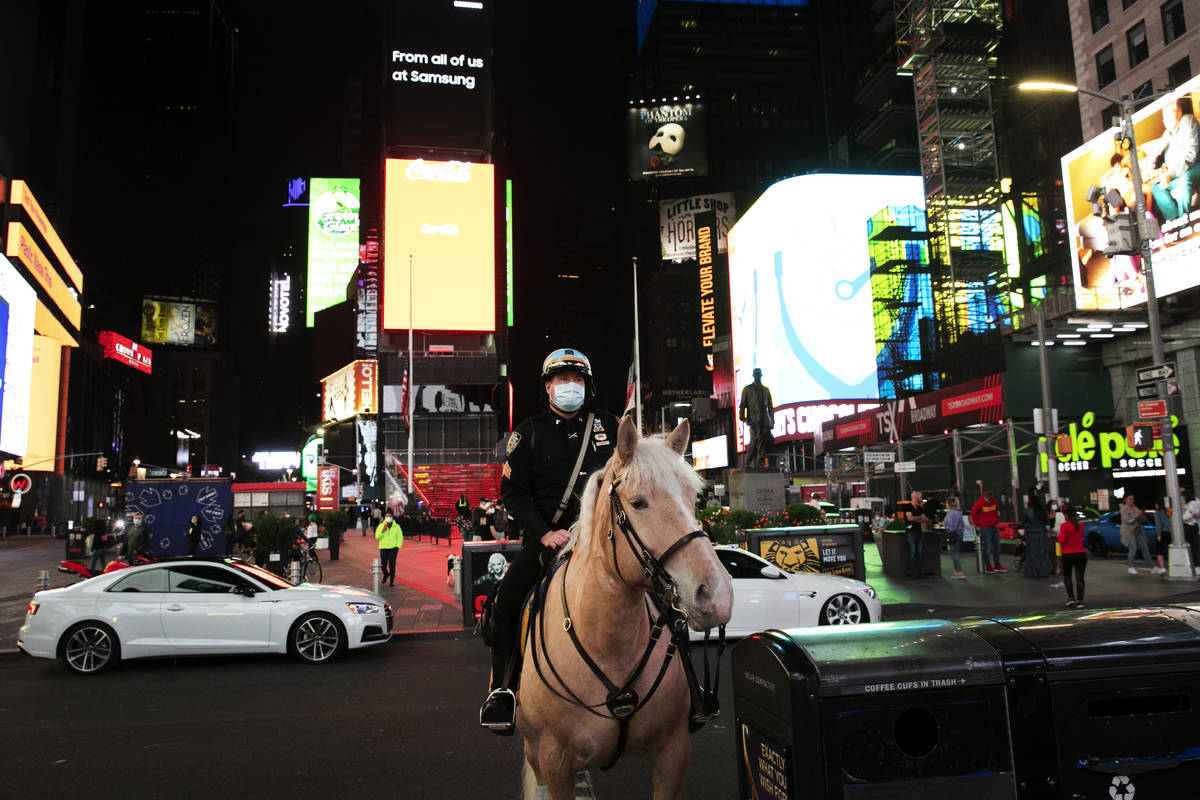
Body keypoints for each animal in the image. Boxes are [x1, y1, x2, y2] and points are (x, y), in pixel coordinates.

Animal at [516, 417, 729, 796]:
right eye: (638, 502)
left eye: (694, 500)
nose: (716, 595)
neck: (608, 641)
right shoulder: (554, 762)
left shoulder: (673, 753)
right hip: (534, 751)